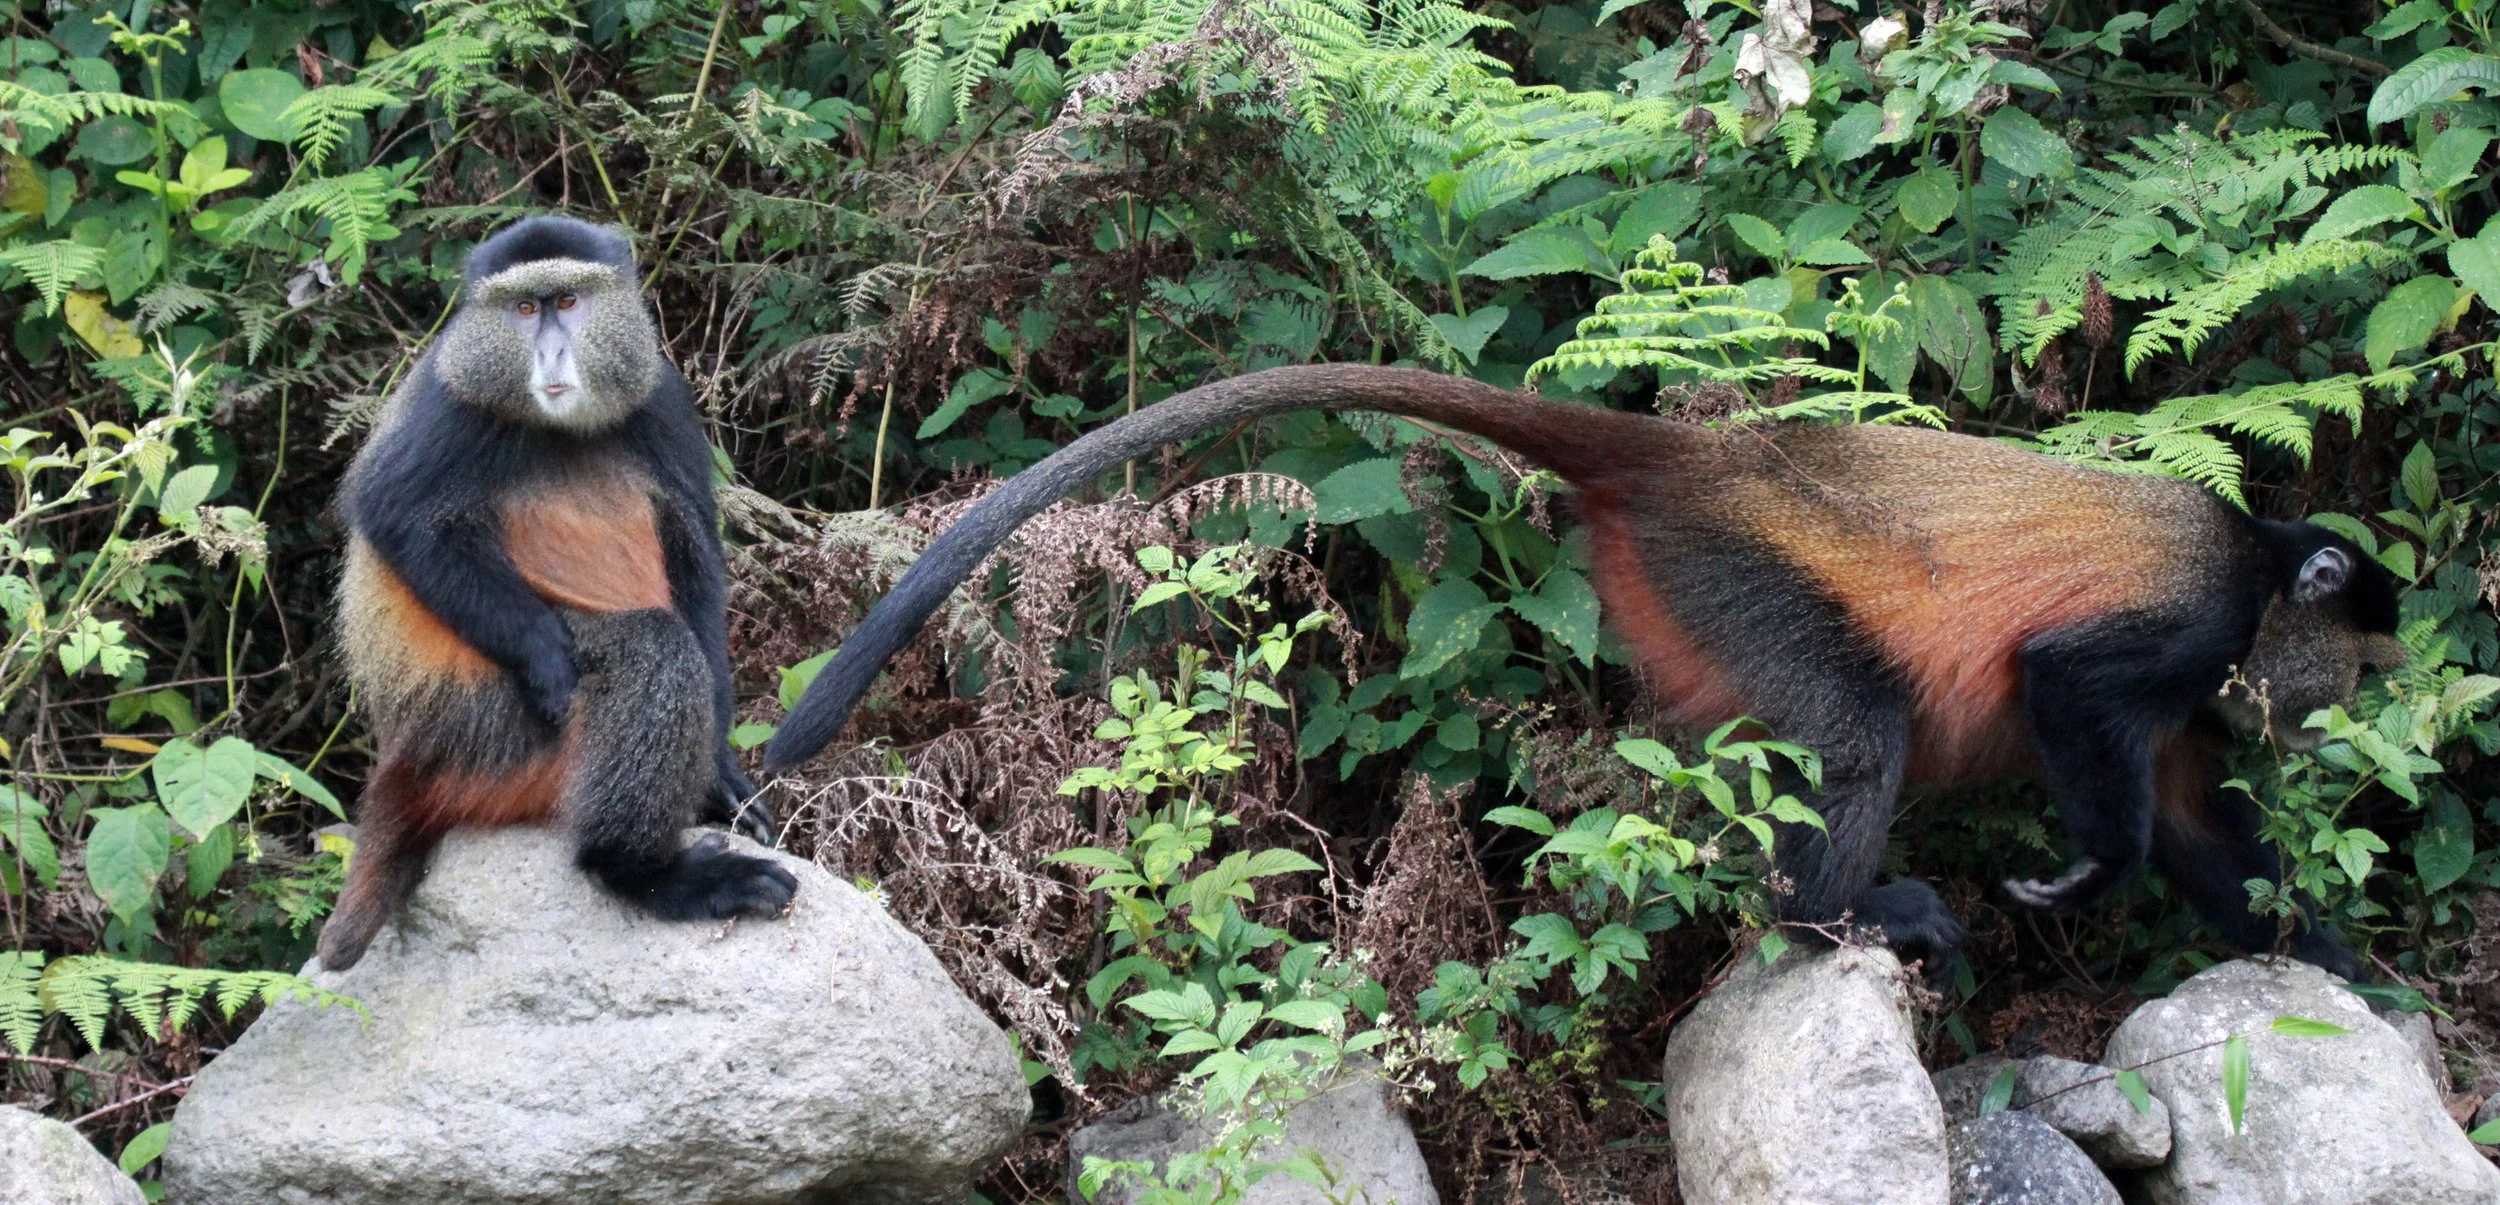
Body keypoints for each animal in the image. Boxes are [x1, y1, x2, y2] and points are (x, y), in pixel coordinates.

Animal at [317, 216, 796, 972]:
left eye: (568, 302)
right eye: (523, 309)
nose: (548, 351)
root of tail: (406, 753)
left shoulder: (662, 399)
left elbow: (695, 551)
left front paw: (720, 771)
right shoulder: (450, 405)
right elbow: (396, 516)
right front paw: (544, 652)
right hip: (479, 731)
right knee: (648, 648)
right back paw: (645, 871)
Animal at [760, 364, 2404, 979]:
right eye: (2364, 662)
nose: (2346, 726)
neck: (2263, 564)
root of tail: (1698, 459)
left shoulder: (2197, 691)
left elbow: (2194, 822)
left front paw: (2324, 954)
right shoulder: (2193, 621)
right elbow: (2067, 690)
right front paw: (2083, 873)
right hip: (1736, 575)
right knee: (1859, 731)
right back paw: (1833, 916)